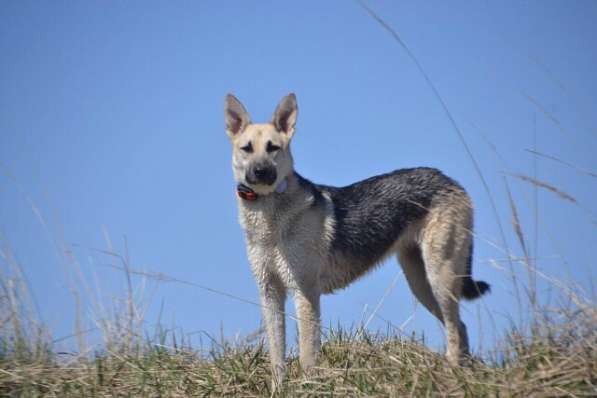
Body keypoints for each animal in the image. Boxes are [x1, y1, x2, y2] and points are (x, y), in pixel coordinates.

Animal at [224, 94, 488, 386]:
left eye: (273, 148)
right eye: (247, 149)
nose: (260, 172)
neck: (269, 219)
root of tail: (450, 180)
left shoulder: (305, 291)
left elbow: (307, 354)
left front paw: (307, 386)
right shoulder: (270, 292)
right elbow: (276, 357)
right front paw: (278, 389)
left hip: (440, 278)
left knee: (455, 329)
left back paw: (453, 375)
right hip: (421, 284)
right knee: (461, 328)